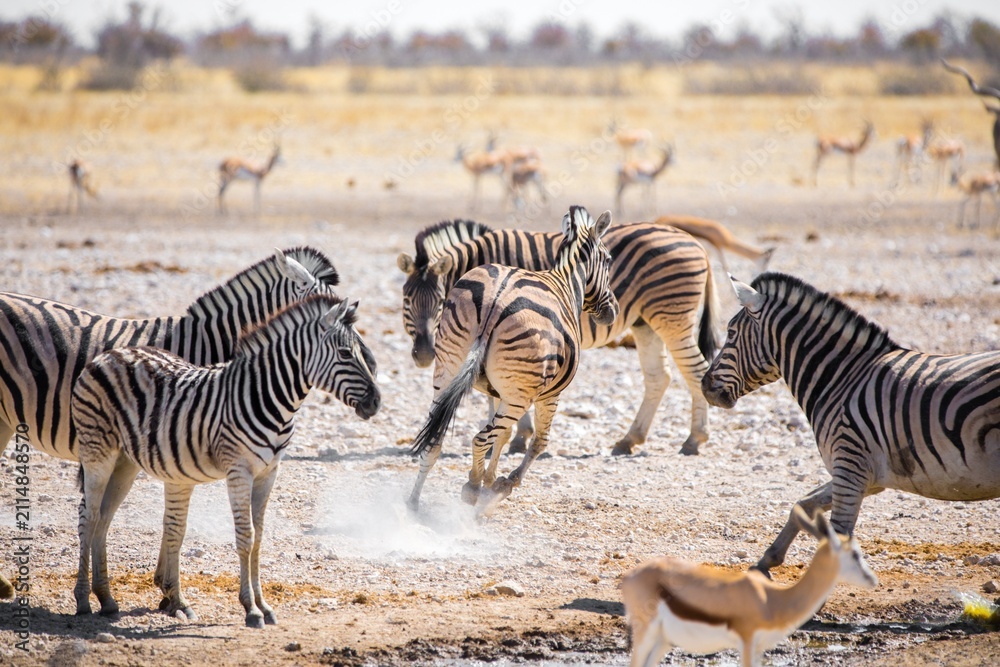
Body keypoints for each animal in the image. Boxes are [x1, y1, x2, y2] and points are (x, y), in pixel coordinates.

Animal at [72, 295, 380, 628]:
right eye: (346, 353)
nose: (377, 402)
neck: (268, 397)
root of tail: (108, 354)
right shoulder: (239, 471)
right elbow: (246, 537)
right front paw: (251, 609)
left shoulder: (269, 473)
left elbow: (259, 537)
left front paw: (264, 605)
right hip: (98, 452)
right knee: (89, 517)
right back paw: (83, 600)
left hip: (125, 463)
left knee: (104, 518)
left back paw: (106, 599)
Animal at [397, 217, 718, 458]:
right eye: (406, 300)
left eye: (440, 301)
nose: (424, 356)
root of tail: (696, 243)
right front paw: (514, 436)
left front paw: (512, 437)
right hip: (646, 323)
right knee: (659, 377)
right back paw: (630, 440)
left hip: (672, 318)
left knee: (695, 371)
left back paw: (694, 439)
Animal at [407, 206, 618, 514]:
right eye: (608, 259)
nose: (612, 311)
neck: (565, 282)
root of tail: (495, 300)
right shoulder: (549, 394)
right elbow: (539, 442)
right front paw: (501, 484)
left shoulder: (497, 390)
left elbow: (504, 435)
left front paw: (488, 477)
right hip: (520, 394)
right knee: (480, 438)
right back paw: (472, 491)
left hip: (447, 372)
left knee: (435, 438)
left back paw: (412, 502)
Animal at [622, 507, 877, 667]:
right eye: (855, 554)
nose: (872, 579)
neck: (773, 599)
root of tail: (630, 575)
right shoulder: (746, 642)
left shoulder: (758, 648)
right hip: (646, 632)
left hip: (663, 640)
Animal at [701, 272, 1000, 576]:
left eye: (730, 333)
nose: (704, 386)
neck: (842, 379)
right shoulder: (863, 474)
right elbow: (803, 504)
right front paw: (766, 561)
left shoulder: (850, 463)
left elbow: (836, 535)